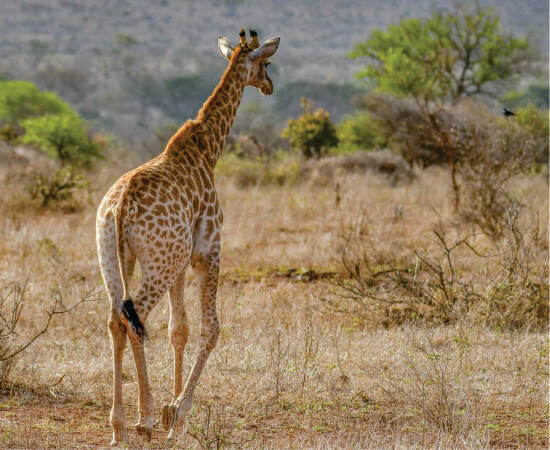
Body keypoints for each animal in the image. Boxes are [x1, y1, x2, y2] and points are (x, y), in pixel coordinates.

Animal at [95, 29, 282, 446]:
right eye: (266, 63)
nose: (270, 86)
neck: (208, 150)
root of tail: (121, 206)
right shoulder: (208, 249)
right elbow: (211, 329)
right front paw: (177, 410)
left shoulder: (180, 262)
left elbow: (178, 330)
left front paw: (173, 412)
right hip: (157, 264)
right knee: (133, 318)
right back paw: (143, 418)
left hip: (114, 259)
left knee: (116, 320)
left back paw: (118, 426)